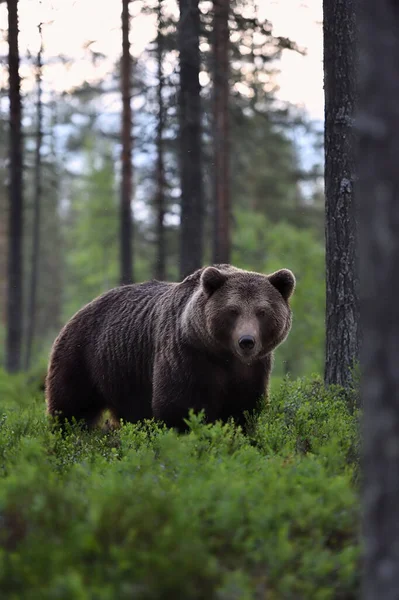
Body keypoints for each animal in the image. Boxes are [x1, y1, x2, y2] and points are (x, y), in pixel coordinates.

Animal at [46, 266, 296, 432]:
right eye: (232, 310)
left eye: (262, 311)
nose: (246, 341)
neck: (223, 356)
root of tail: (80, 310)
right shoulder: (186, 355)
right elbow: (178, 406)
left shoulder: (252, 369)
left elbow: (243, 408)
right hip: (83, 356)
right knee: (71, 407)